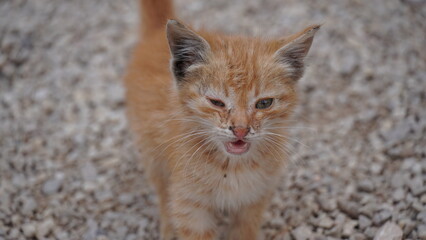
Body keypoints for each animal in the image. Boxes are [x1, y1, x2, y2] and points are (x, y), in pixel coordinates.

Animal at [124, 0, 320, 238]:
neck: (232, 167)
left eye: (264, 103)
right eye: (216, 102)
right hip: (153, 156)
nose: (241, 130)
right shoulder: (190, 206)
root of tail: (156, 33)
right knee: (163, 193)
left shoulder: (254, 200)